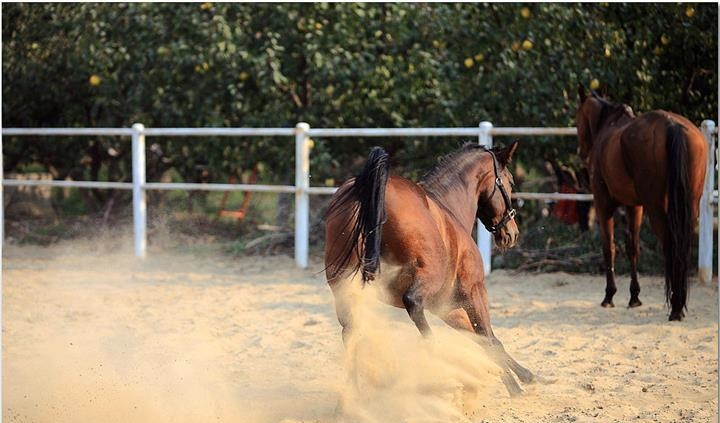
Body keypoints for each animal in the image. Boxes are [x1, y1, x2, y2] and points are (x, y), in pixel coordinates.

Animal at [324, 142, 532, 398]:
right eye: (510, 182)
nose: (512, 233)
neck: (448, 208)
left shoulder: (447, 307)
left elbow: (480, 338)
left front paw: (520, 377)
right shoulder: (473, 291)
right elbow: (489, 337)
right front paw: (517, 385)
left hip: (345, 289)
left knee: (351, 332)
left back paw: (353, 396)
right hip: (426, 278)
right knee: (412, 303)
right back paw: (439, 359)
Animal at [576, 88, 704, 322]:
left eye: (578, 118)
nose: (582, 151)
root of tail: (672, 125)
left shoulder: (603, 204)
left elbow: (609, 247)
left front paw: (609, 295)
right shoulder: (635, 207)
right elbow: (633, 247)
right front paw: (634, 297)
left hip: (656, 208)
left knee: (671, 246)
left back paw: (676, 306)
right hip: (689, 207)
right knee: (683, 247)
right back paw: (679, 303)